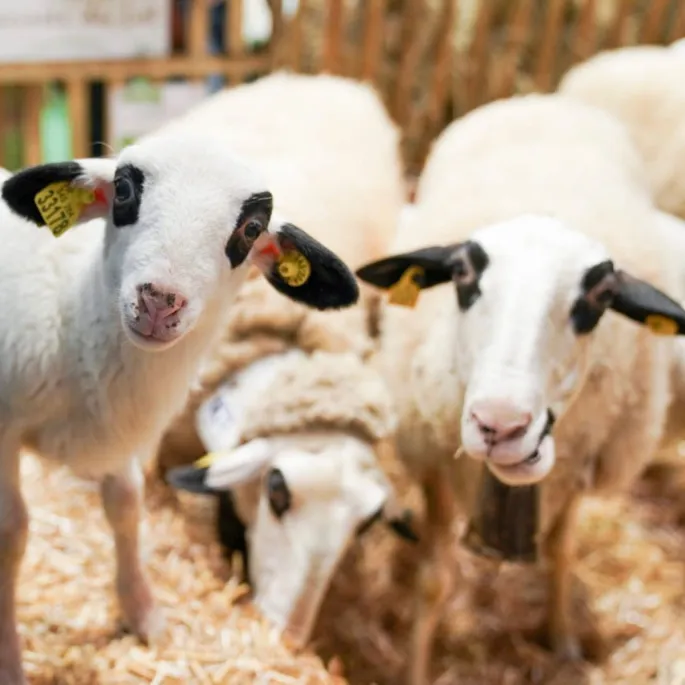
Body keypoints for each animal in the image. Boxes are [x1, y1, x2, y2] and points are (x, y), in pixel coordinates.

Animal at [0, 130, 360, 684]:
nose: (158, 300)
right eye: (124, 190)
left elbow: (126, 506)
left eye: (251, 228)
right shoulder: (4, 428)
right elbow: (11, 534)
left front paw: (143, 613)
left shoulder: (124, 432)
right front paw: (9, 658)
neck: (70, 327)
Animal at [352, 95, 685, 684]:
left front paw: (562, 641)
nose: (499, 424)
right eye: (462, 275)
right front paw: (416, 667)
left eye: (601, 296)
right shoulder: (433, 459)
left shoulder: (578, 470)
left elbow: (561, 552)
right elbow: (434, 579)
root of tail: (542, 99)